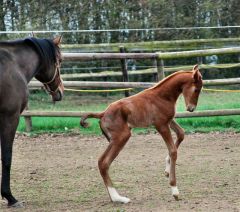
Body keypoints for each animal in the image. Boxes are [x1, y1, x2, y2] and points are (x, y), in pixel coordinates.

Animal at [0, 36, 63, 207]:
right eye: (60, 60)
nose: (60, 91)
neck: (13, 65)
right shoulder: (10, 118)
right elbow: (7, 157)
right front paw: (10, 197)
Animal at [80, 64, 202, 204]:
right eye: (196, 89)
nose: (191, 108)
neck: (162, 96)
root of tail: (103, 114)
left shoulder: (169, 121)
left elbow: (181, 134)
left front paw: (166, 169)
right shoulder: (161, 125)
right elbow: (173, 151)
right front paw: (174, 190)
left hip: (114, 139)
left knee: (101, 162)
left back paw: (114, 198)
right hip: (122, 137)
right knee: (104, 163)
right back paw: (119, 198)